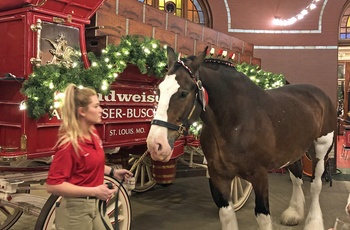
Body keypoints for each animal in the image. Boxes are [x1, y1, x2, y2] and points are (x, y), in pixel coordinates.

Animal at [146, 46, 336, 228]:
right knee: (296, 177)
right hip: (292, 150)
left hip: (321, 149)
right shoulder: (219, 176)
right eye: (159, 90)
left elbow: (263, 216)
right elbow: (227, 216)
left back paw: (313, 223)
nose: (156, 144)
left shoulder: (260, 176)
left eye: (183, 93)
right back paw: (294, 213)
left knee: (315, 186)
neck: (235, 121)